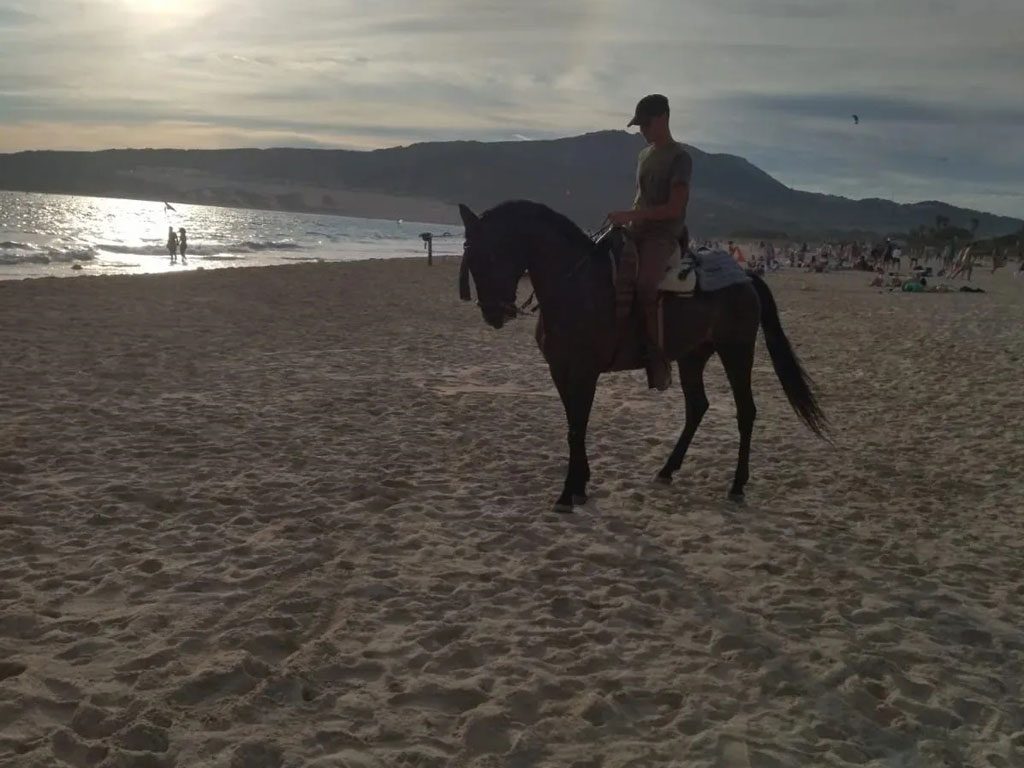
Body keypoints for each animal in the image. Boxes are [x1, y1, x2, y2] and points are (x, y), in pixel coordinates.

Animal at [460, 199, 827, 512]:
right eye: (471, 260)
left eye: (489, 256)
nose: (493, 314)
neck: (575, 285)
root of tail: (746, 276)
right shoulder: (560, 371)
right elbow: (573, 425)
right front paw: (580, 485)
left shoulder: (584, 372)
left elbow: (577, 427)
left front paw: (568, 492)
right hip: (693, 357)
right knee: (697, 406)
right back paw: (667, 469)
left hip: (736, 352)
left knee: (745, 411)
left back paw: (737, 485)